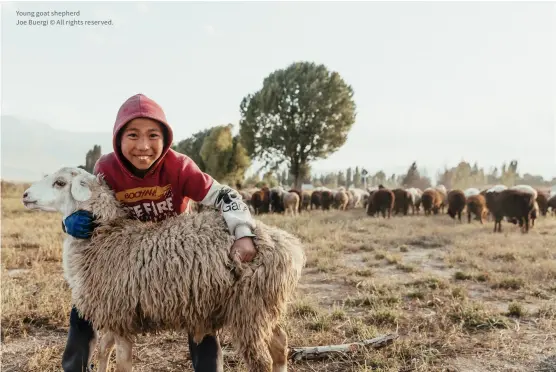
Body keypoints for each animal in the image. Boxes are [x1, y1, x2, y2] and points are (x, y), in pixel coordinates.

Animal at [21, 167, 306, 370]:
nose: (25, 195)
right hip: (265, 306)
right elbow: (102, 352)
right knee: (280, 344)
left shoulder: (122, 317)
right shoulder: (113, 316)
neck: (106, 236)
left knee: (263, 360)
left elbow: (122, 363)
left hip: (250, 309)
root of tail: (289, 245)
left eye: (59, 183)